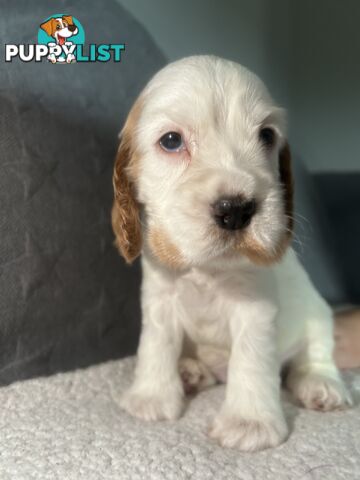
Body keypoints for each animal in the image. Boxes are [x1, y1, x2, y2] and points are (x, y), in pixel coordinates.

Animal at [110, 55, 352, 450]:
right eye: (171, 141)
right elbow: (156, 342)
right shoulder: (160, 296)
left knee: (313, 355)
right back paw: (190, 371)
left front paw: (249, 422)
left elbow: (250, 358)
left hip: (317, 314)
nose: (236, 210)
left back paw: (321, 385)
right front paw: (151, 396)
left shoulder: (255, 307)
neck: (206, 269)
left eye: (266, 135)